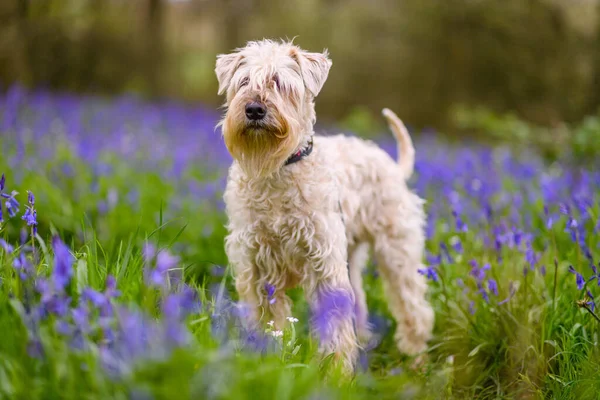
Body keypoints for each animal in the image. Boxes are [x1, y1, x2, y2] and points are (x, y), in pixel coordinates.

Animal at [213, 38, 434, 372]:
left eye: (280, 83)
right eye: (243, 82)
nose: (254, 109)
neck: (278, 171)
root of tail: (393, 167)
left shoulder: (323, 261)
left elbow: (334, 325)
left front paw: (336, 370)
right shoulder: (257, 264)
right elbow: (267, 319)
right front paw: (265, 357)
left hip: (397, 251)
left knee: (414, 309)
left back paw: (416, 360)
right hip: (351, 257)